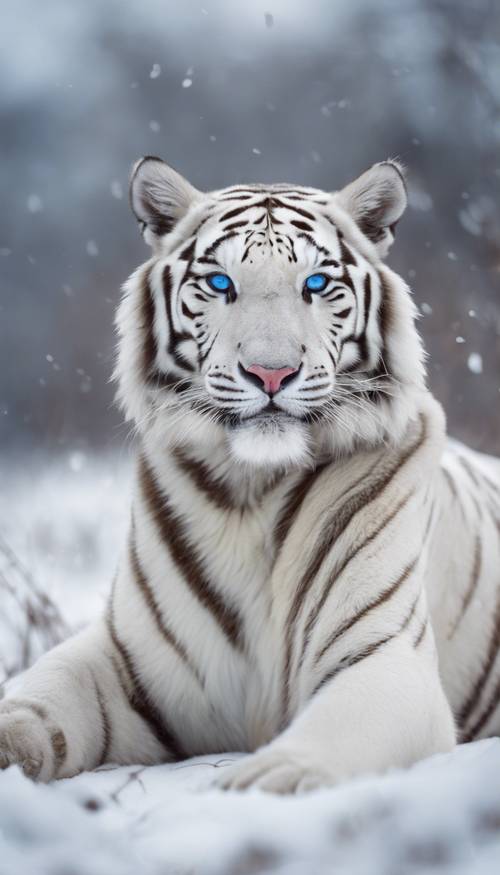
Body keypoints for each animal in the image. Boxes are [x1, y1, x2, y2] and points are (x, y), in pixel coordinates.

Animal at [0, 157, 500, 792]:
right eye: (220, 284)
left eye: (316, 285)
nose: (271, 373)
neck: (249, 493)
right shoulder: (124, 660)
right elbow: (38, 699)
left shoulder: (385, 657)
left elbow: (325, 739)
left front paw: (260, 782)